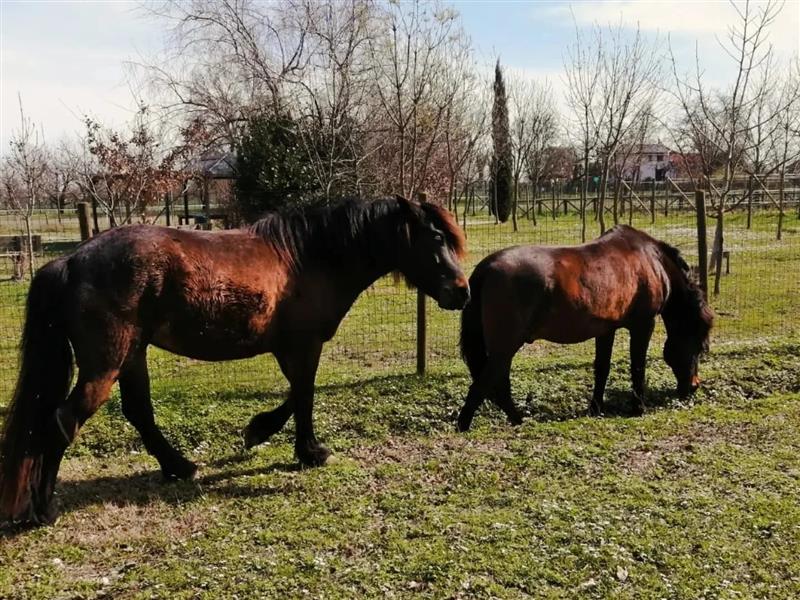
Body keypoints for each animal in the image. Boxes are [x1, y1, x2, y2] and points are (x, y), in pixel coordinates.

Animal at [0, 196, 469, 525]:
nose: (461, 292)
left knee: (138, 413)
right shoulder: (304, 345)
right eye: (436, 240)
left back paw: (179, 467)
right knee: (63, 420)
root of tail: (70, 261)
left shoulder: (289, 346)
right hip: (107, 364)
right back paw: (41, 509)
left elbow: (295, 395)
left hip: (132, 356)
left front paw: (260, 430)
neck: (309, 257)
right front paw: (310, 451)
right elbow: (305, 395)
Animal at [457, 225, 713, 431]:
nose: (693, 386)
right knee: (484, 385)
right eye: (699, 347)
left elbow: (602, 368)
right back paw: (465, 425)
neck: (651, 261)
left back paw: (516, 419)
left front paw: (595, 408)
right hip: (505, 347)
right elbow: (638, 367)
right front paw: (638, 407)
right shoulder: (643, 325)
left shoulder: (606, 330)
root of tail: (485, 269)